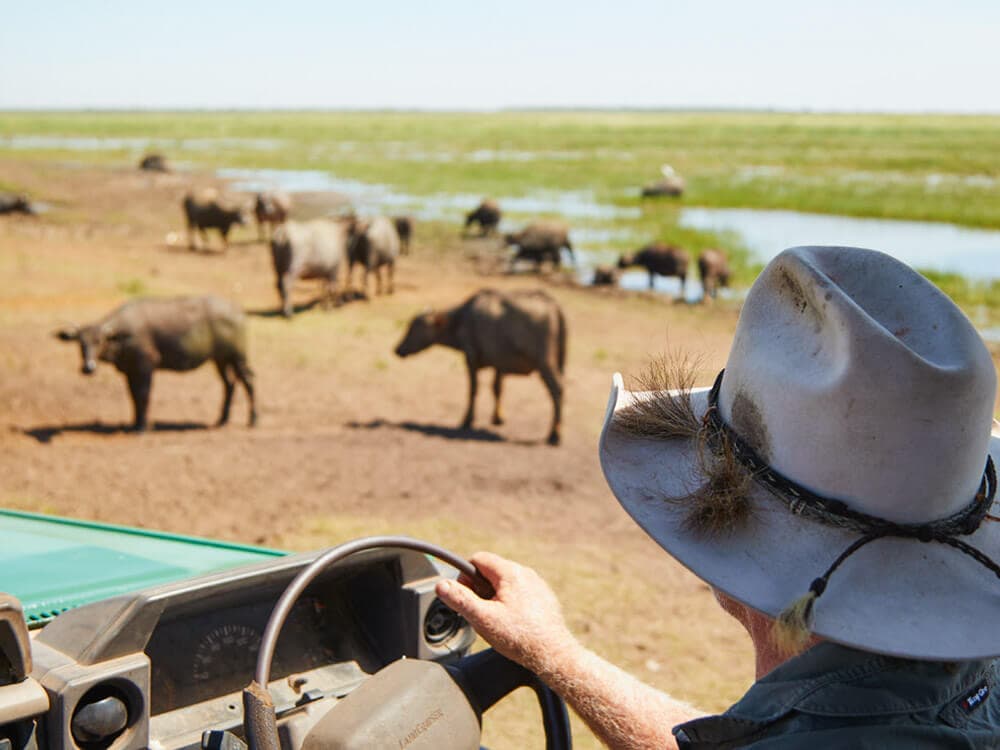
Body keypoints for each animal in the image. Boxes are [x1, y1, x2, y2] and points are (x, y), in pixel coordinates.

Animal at [56, 296, 256, 432]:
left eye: (99, 341)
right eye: (80, 343)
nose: (88, 367)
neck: (123, 336)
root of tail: (237, 310)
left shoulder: (145, 367)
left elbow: (143, 395)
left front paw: (142, 427)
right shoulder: (130, 370)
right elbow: (133, 396)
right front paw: (135, 422)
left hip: (238, 357)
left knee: (248, 382)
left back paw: (253, 419)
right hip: (220, 359)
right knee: (229, 384)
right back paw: (223, 419)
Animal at [394, 290, 568, 446]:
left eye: (413, 327)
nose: (398, 349)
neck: (461, 320)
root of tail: (553, 303)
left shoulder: (470, 358)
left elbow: (473, 390)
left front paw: (467, 420)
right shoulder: (500, 364)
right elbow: (497, 389)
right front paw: (497, 418)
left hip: (545, 362)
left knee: (557, 389)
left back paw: (555, 434)